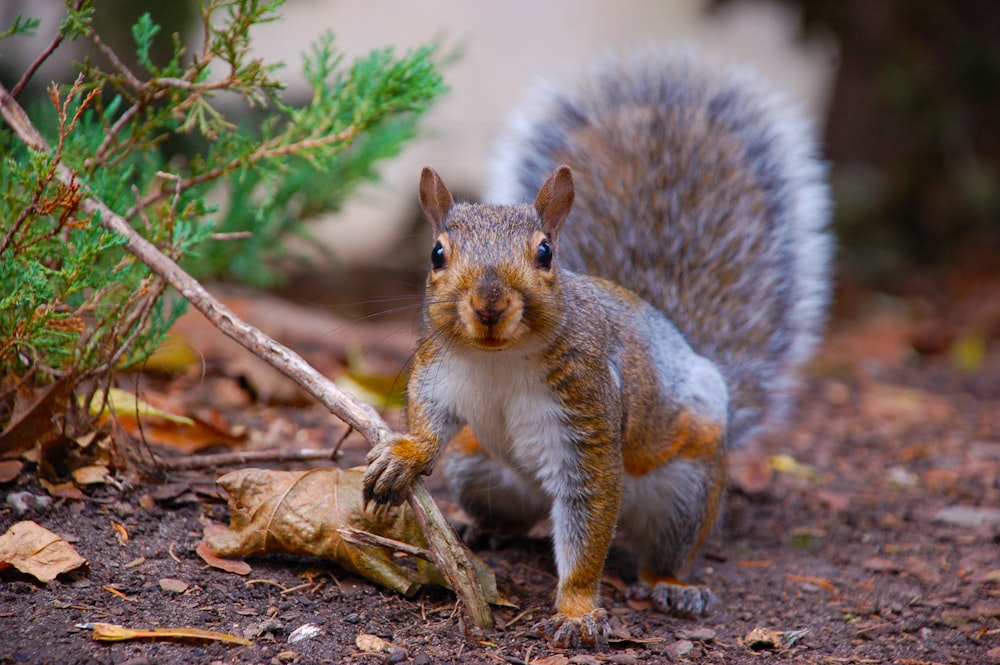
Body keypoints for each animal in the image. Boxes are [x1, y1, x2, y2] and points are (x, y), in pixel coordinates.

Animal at [364, 48, 832, 648]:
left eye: (545, 253)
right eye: (437, 254)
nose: (489, 305)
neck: (498, 360)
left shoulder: (587, 411)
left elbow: (588, 523)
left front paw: (578, 610)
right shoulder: (437, 368)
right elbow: (427, 418)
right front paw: (405, 455)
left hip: (688, 485)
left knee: (657, 547)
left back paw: (672, 586)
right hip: (477, 468)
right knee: (513, 512)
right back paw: (483, 528)